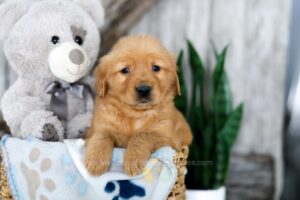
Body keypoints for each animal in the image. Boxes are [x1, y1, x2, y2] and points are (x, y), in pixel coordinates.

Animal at [84, 35, 192, 176]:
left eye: (156, 68)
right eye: (125, 70)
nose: (143, 89)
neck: (135, 114)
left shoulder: (170, 138)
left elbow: (142, 134)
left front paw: (133, 160)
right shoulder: (99, 125)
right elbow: (102, 134)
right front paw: (96, 160)